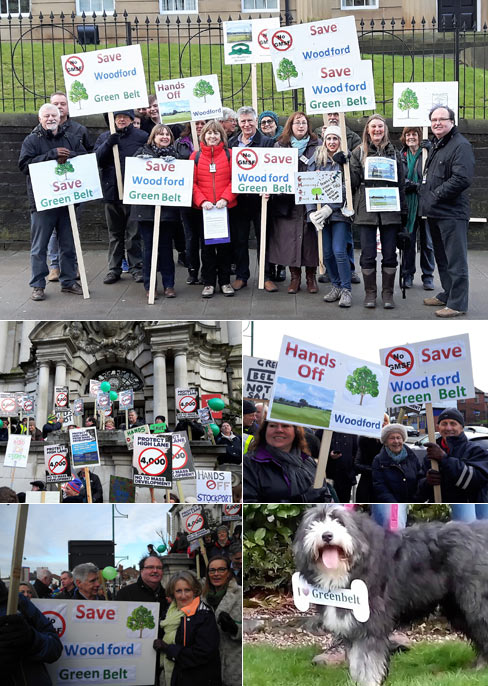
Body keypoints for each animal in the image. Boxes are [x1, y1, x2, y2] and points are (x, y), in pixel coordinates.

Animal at [294, 506, 488, 686]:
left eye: (339, 521)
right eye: (315, 522)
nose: (327, 535)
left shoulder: (370, 623)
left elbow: (367, 660)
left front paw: (368, 681)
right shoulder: (354, 624)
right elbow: (357, 660)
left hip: (475, 603)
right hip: (457, 607)